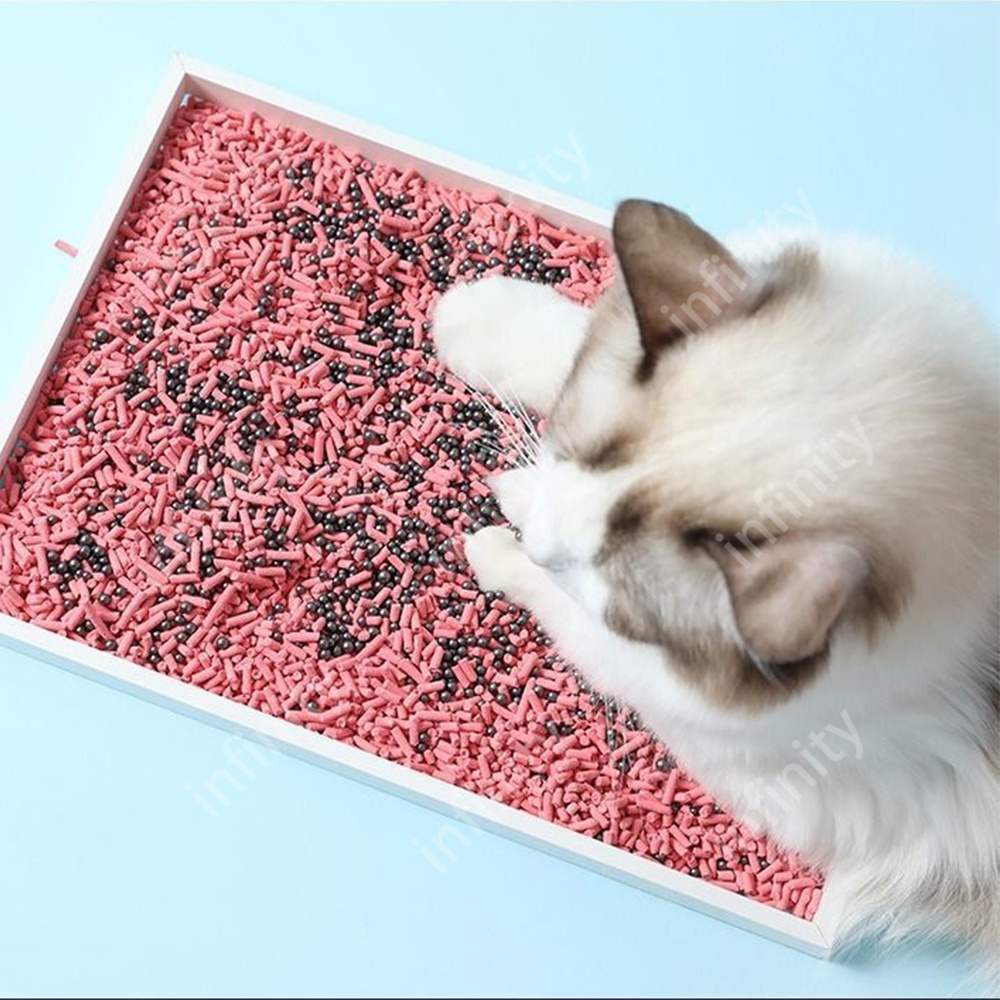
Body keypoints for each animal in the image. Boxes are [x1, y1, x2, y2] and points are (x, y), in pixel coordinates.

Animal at [431, 200, 999, 975]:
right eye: (575, 451)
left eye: (599, 571)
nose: (545, 538)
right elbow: (564, 335)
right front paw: (466, 316)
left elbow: (564, 613)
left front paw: (499, 534)